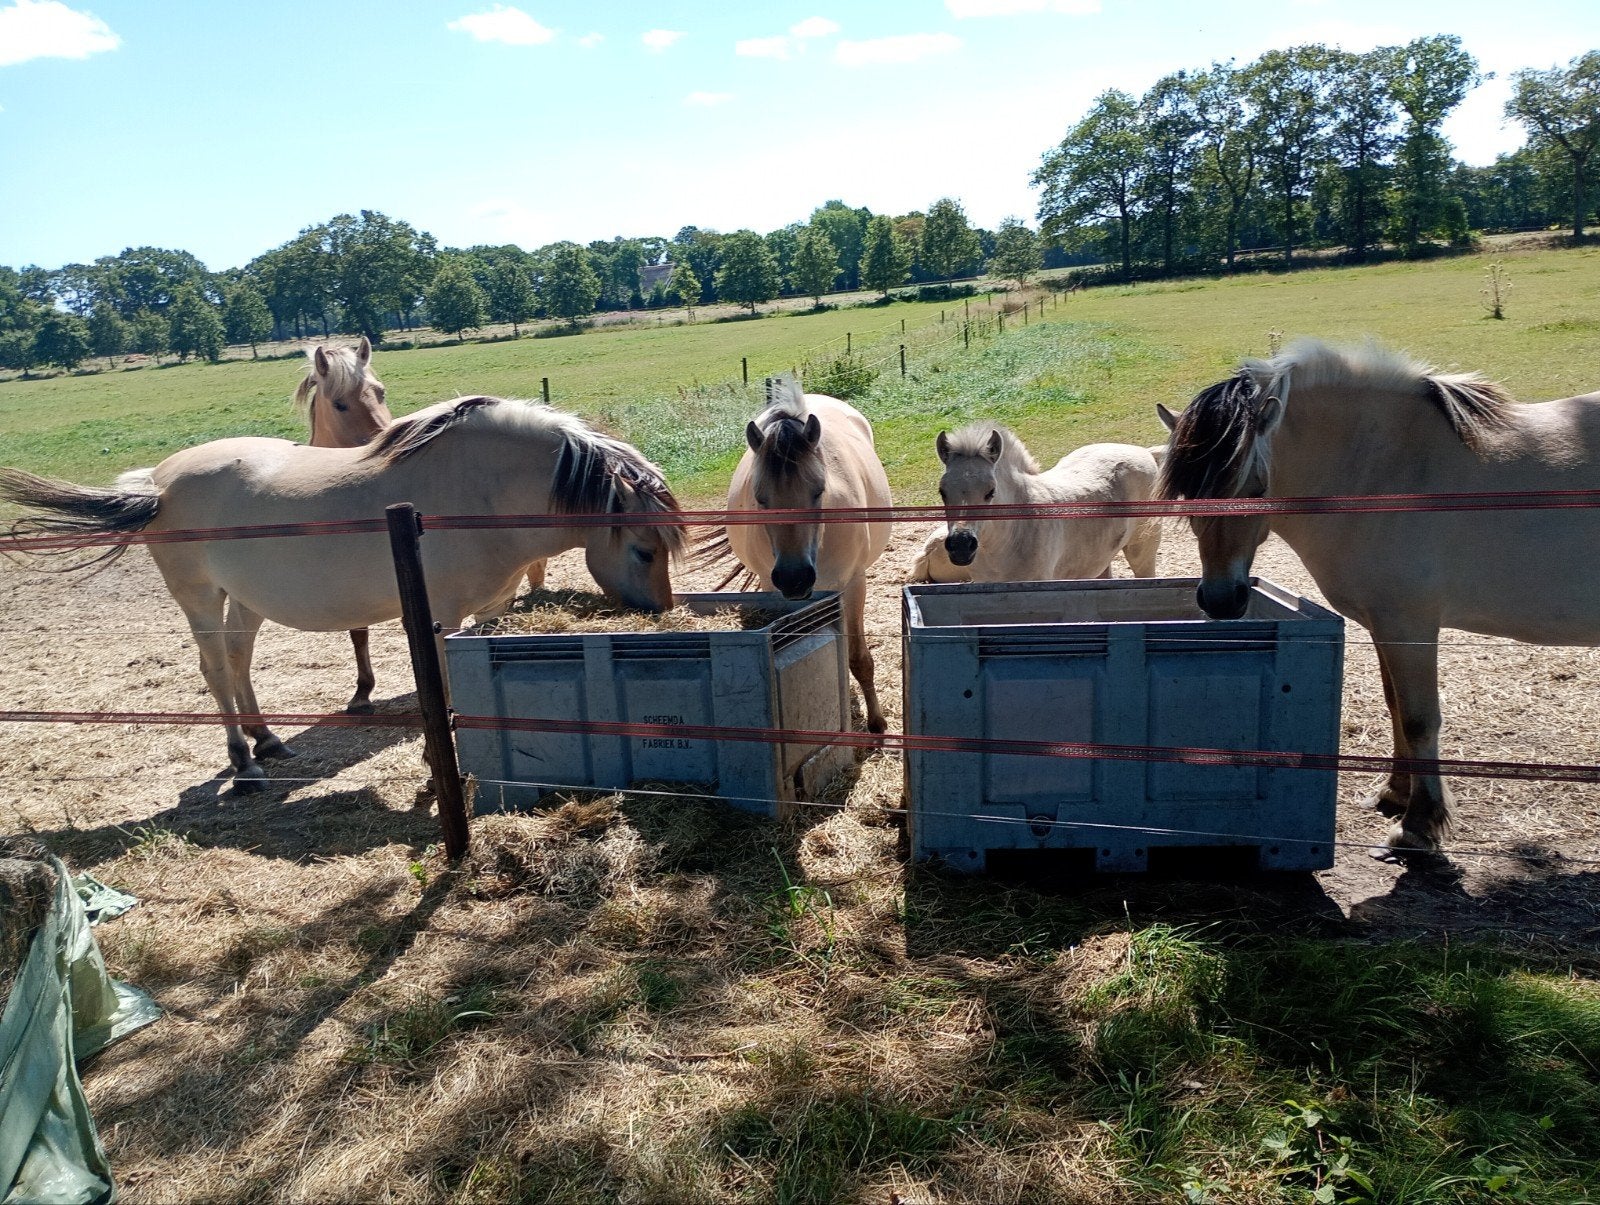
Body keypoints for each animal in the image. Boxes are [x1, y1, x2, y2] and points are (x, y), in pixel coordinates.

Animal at [0, 396, 684, 792]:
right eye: (645, 551)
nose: (660, 612)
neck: (478, 490)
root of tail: (158, 484)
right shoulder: (436, 620)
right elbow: (444, 702)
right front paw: (437, 774)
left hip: (245, 599)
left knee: (241, 661)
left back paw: (269, 740)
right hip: (199, 598)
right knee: (217, 669)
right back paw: (244, 762)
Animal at [720, 379, 893, 733]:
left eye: (818, 491)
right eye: (760, 498)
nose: (794, 578)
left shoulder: (853, 584)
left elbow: (859, 659)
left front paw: (877, 723)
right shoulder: (774, 591)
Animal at [1156, 337, 1600, 855]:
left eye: (1257, 487)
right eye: (1189, 493)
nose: (1222, 601)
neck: (1384, 470)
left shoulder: (1410, 626)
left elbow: (1419, 718)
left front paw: (1419, 825)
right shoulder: (1384, 626)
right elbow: (1395, 706)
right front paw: (1395, 793)